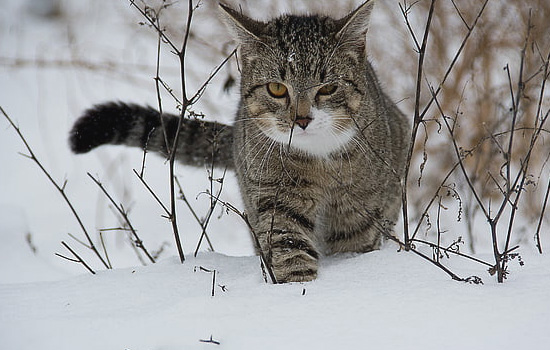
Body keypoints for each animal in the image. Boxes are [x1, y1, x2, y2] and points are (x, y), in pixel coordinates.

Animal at [70, 0, 410, 284]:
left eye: (328, 88)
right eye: (276, 88)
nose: (301, 120)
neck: (319, 159)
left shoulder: (359, 208)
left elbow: (353, 243)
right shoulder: (274, 195)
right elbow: (289, 247)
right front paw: (299, 289)